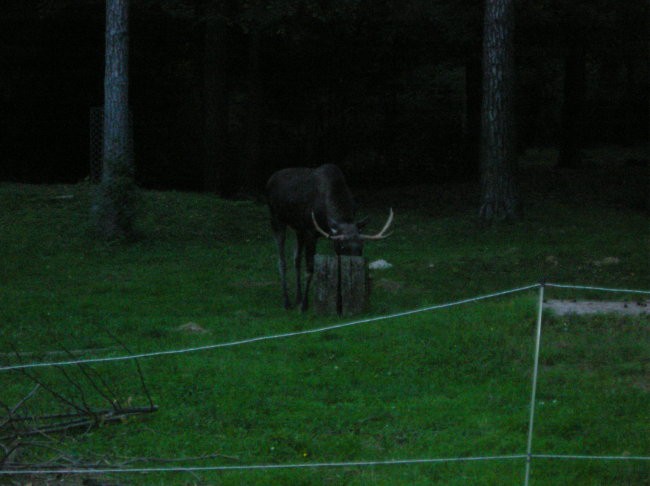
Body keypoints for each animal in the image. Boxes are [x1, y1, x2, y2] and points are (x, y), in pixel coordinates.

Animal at [264, 165, 390, 312]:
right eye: (343, 245)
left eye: (361, 245)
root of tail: (270, 179)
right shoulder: (310, 233)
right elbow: (310, 269)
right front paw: (305, 305)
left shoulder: (319, 235)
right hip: (276, 220)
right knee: (282, 260)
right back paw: (287, 302)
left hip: (298, 229)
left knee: (296, 259)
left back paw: (298, 297)